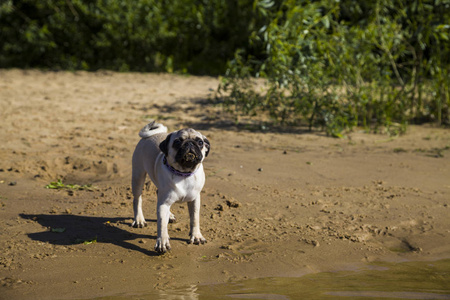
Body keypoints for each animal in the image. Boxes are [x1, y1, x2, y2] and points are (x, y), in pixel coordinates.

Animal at [131, 120, 210, 252]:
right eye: (177, 142)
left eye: (200, 142)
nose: (189, 143)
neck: (183, 174)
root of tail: (152, 135)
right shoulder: (163, 204)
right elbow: (161, 224)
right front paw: (162, 242)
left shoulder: (195, 200)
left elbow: (195, 219)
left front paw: (196, 236)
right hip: (138, 176)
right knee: (137, 199)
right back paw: (139, 220)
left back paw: (170, 215)